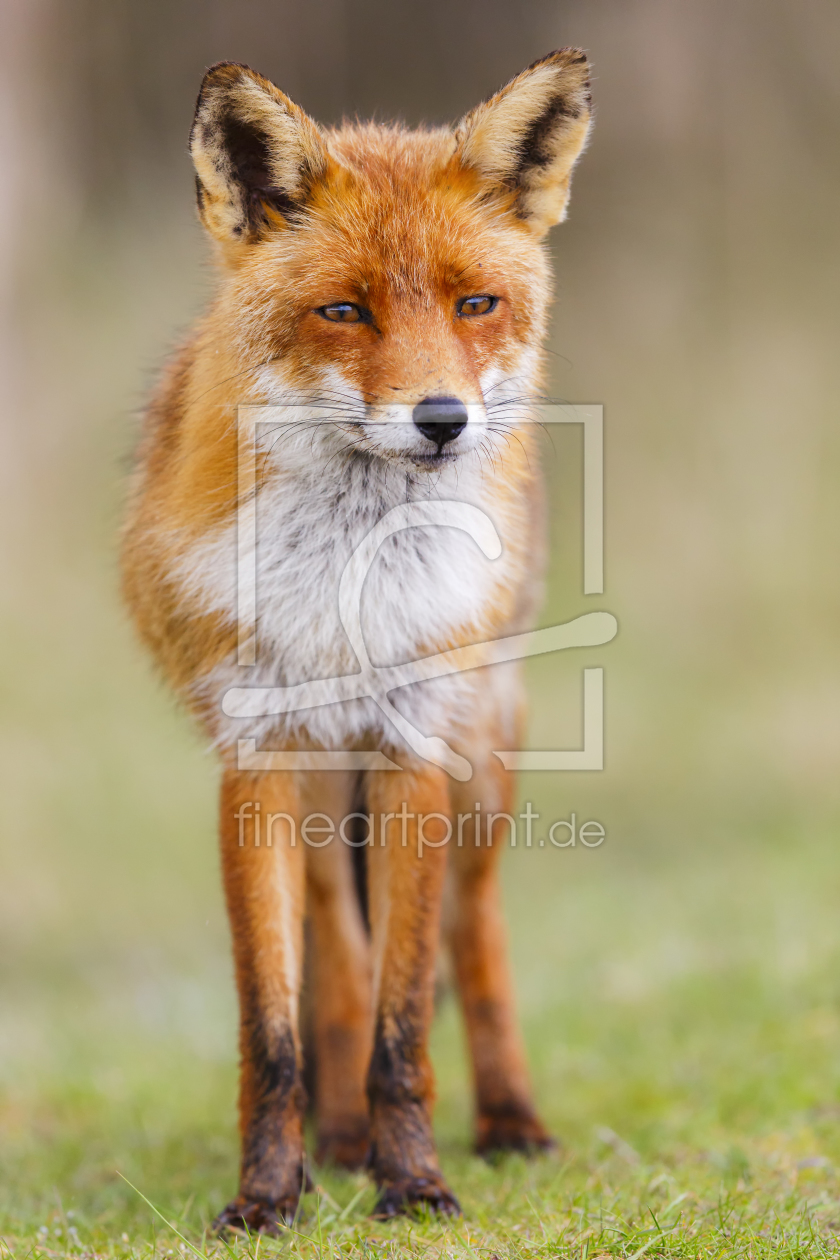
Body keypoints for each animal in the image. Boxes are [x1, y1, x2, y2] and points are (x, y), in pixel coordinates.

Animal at [121, 51, 591, 1229]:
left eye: (476, 304)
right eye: (344, 310)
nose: (442, 420)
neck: (349, 586)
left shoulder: (415, 744)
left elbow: (405, 1017)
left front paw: (414, 1181)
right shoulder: (255, 757)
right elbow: (275, 1026)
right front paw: (267, 1197)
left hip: (484, 755)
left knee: (473, 929)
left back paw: (510, 1123)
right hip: (325, 787)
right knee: (335, 952)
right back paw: (336, 1140)